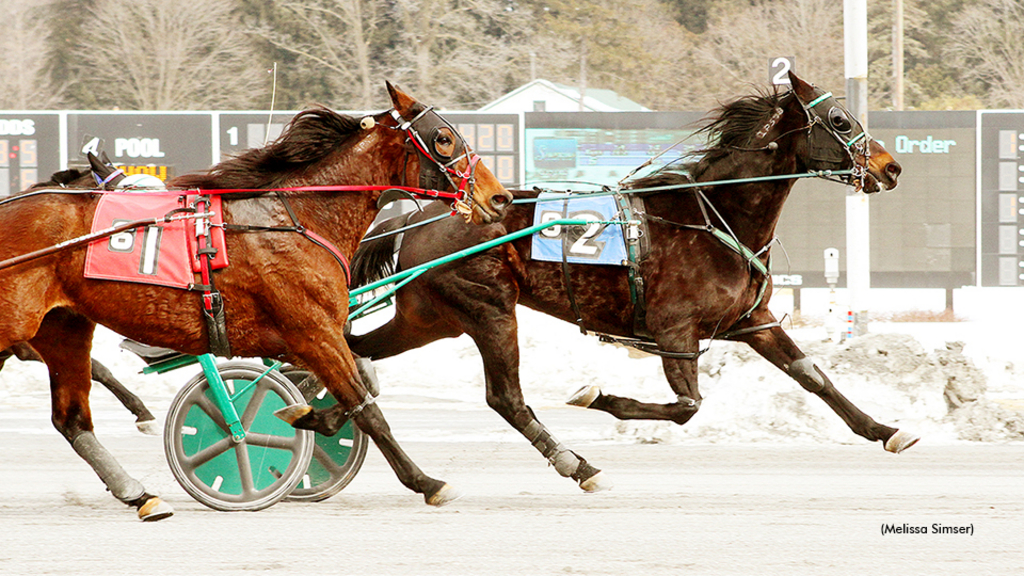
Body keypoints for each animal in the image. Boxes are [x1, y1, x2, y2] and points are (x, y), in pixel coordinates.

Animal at [0, 83, 512, 518]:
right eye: (443, 138)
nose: (500, 197)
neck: (296, 217)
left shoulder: (301, 336)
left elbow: (358, 386)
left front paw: (305, 415)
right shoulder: (312, 329)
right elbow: (367, 406)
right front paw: (428, 483)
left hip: (64, 326)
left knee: (71, 420)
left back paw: (141, 496)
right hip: (16, 325)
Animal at [346, 72, 913, 494]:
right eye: (839, 119)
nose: (891, 167)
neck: (715, 214)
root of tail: (415, 217)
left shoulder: (753, 321)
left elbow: (813, 376)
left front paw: (885, 430)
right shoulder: (674, 330)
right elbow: (687, 407)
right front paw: (596, 396)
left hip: (430, 318)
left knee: (356, 351)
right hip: (489, 310)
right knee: (505, 398)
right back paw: (575, 465)